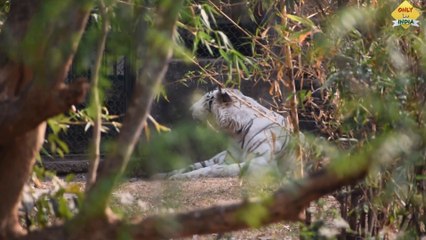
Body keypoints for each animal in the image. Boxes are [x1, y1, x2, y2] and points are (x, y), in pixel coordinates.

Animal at [154, 87, 300, 179]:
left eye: (206, 98)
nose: (190, 109)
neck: (235, 133)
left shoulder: (264, 161)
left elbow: (218, 169)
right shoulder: (228, 159)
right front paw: (179, 176)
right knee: (192, 165)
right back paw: (163, 175)